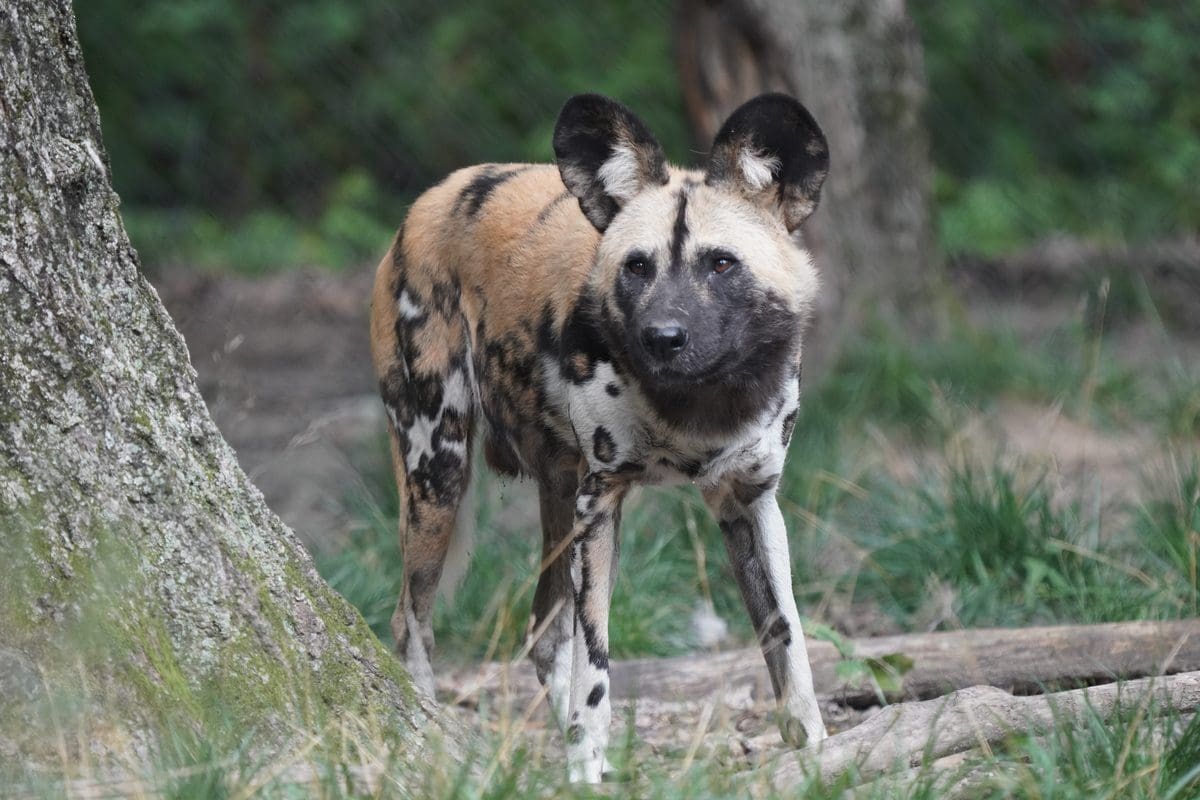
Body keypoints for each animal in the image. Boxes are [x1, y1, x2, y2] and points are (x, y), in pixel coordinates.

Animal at [369, 94, 830, 782]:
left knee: (541, 632)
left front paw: (817, 751)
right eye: (637, 267)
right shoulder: (604, 500)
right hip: (439, 473)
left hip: (560, 493)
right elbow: (597, 663)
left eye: (721, 263)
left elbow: (787, 637)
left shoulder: (749, 499)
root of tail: (428, 201)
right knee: (411, 623)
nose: (662, 337)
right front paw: (584, 768)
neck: (699, 404)